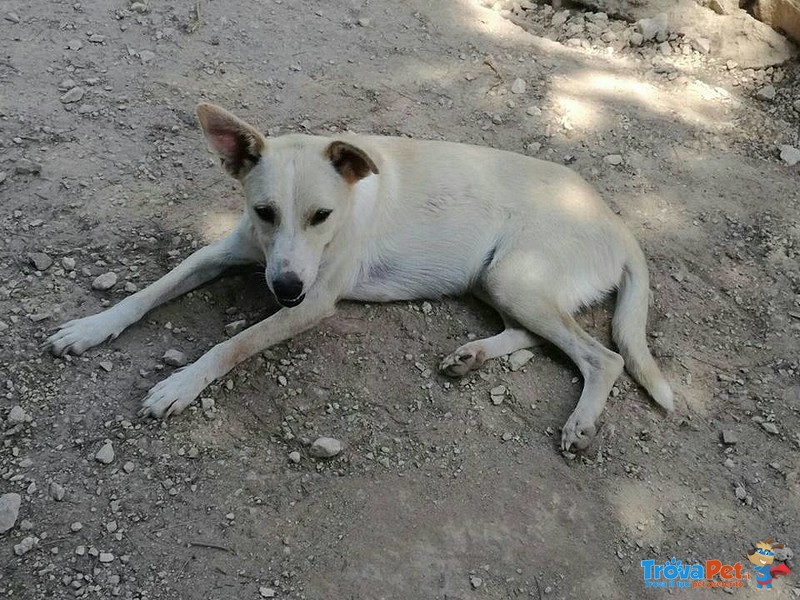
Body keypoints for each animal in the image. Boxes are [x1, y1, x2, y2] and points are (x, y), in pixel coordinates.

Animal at [43, 102, 672, 450]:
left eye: (321, 216)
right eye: (264, 211)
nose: (284, 289)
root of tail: (618, 224)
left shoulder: (314, 301)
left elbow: (231, 345)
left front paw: (180, 385)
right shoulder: (226, 250)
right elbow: (148, 292)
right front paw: (90, 328)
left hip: (517, 279)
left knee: (603, 356)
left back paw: (581, 423)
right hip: (500, 282)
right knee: (540, 336)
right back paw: (470, 356)